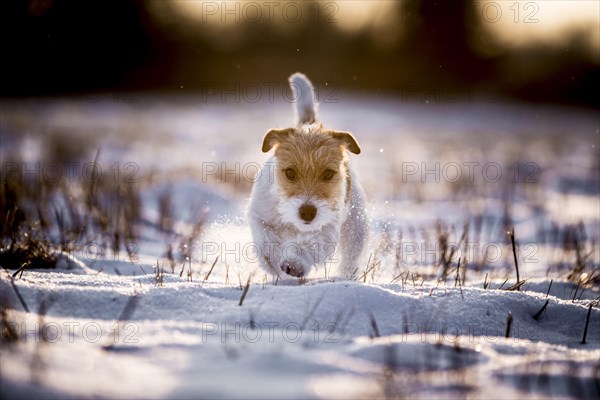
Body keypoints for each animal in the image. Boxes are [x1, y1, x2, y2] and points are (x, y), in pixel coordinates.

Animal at [246, 72, 368, 278]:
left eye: (328, 173)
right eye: (290, 172)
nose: (308, 212)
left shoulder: (327, 227)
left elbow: (311, 243)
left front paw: (294, 262)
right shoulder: (260, 215)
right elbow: (266, 238)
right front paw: (272, 262)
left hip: (356, 227)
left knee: (351, 256)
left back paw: (346, 276)